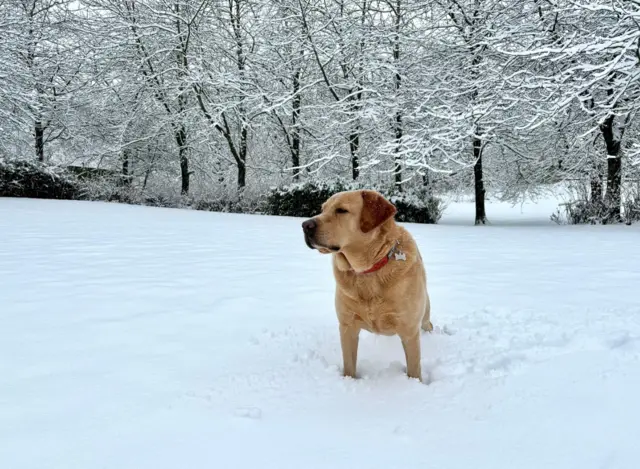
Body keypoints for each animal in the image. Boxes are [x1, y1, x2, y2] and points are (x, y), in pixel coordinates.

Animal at [302, 187, 432, 380]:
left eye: (341, 210)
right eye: (323, 209)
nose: (305, 225)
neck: (367, 272)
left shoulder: (409, 330)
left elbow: (414, 369)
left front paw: (414, 384)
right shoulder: (347, 326)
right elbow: (349, 365)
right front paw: (349, 381)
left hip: (424, 314)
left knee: (427, 323)